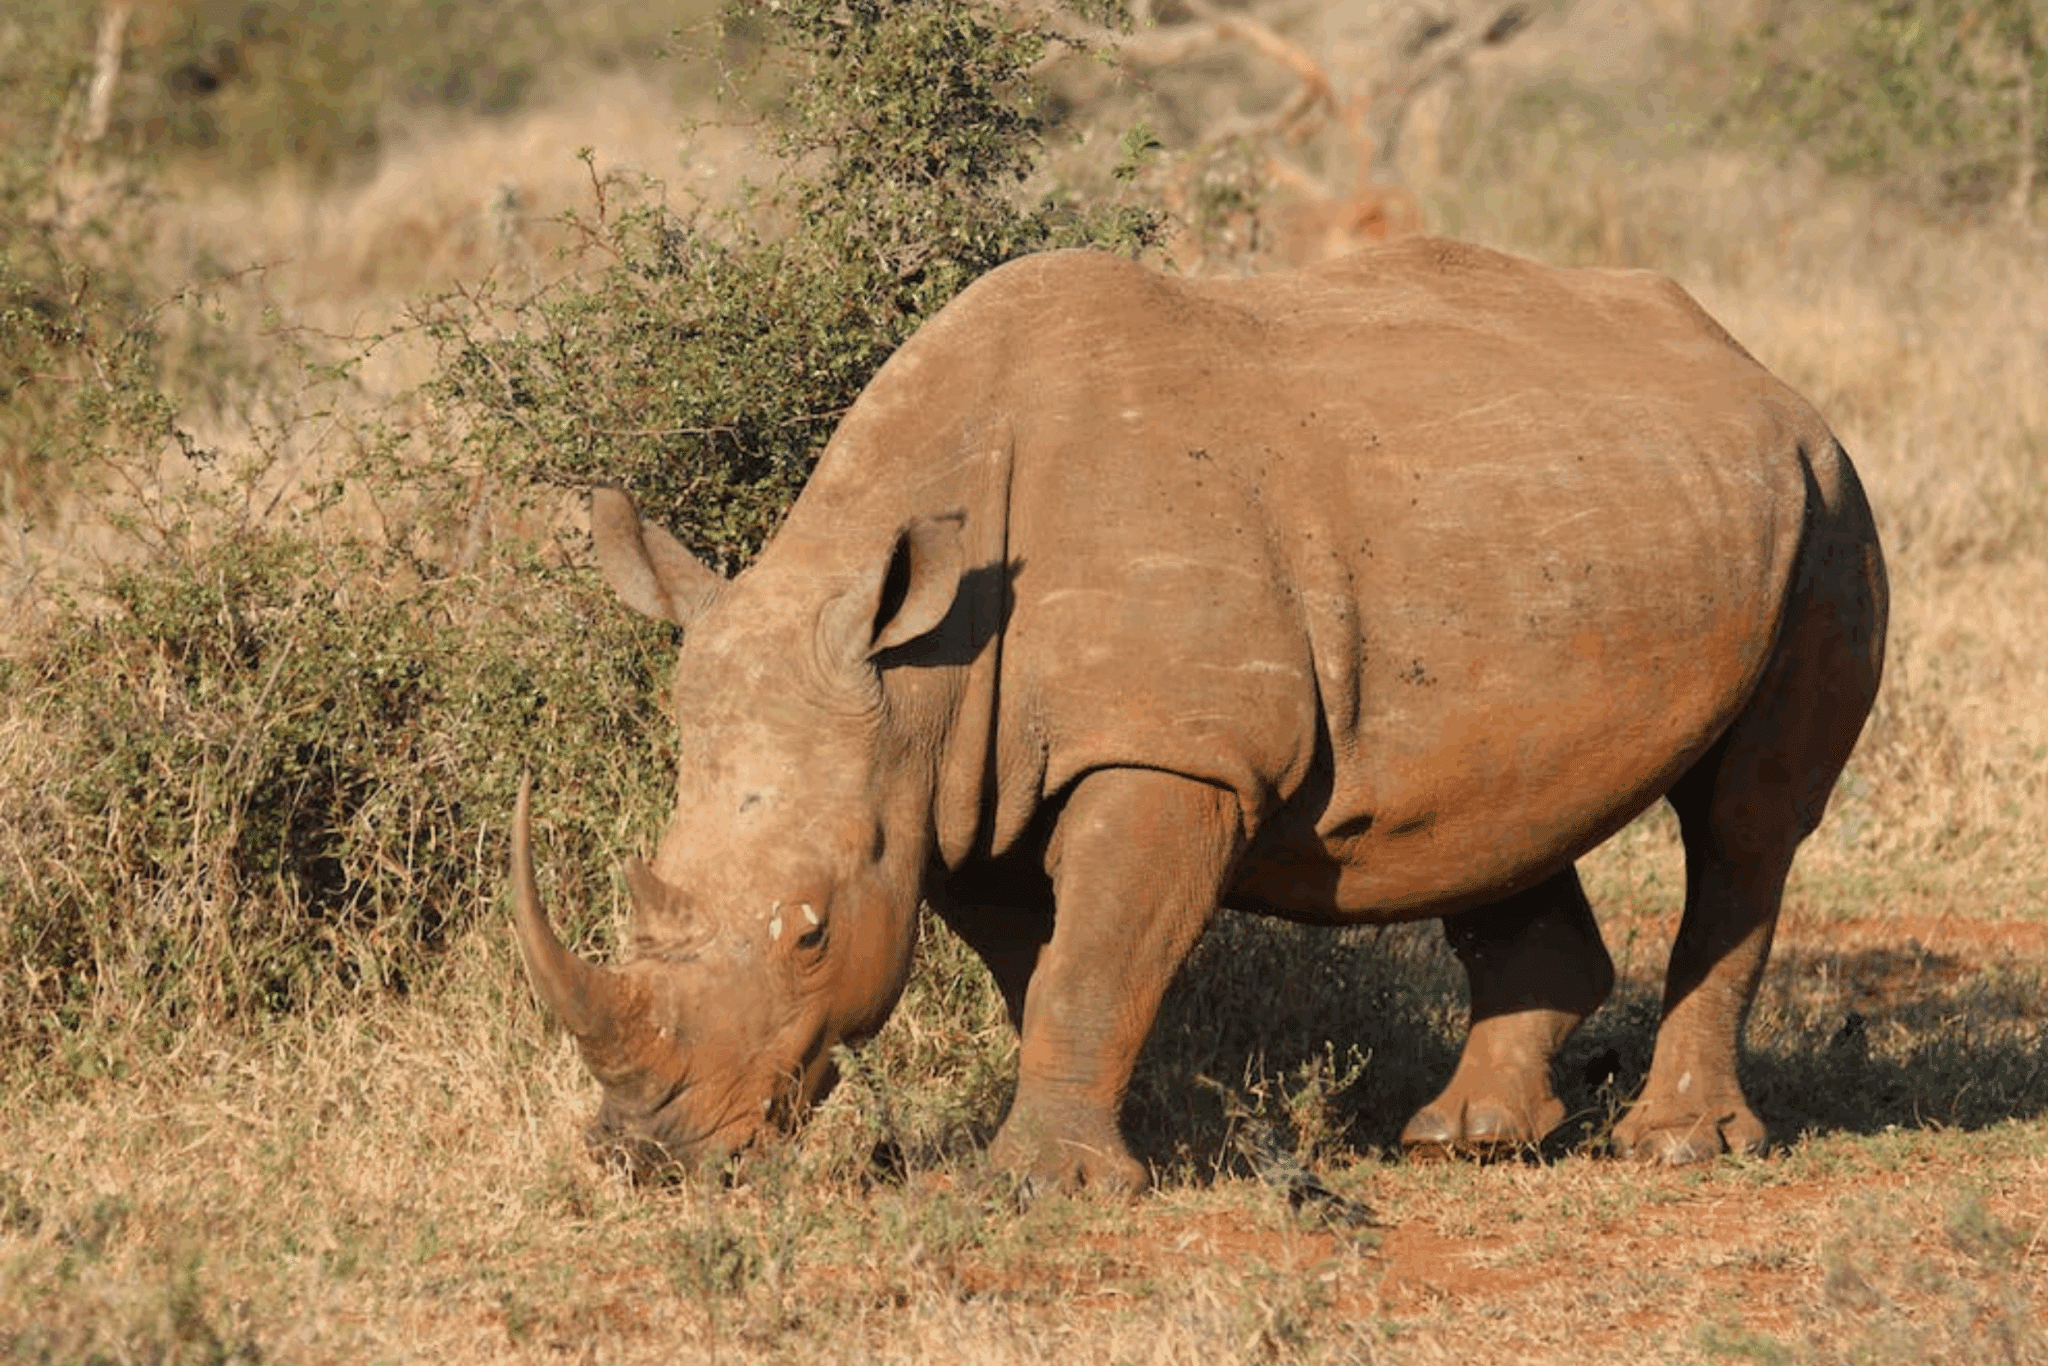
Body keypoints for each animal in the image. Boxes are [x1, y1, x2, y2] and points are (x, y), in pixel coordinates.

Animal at [512, 238, 1887, 1193]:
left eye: (808, 933)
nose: (649, 1152)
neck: (918, 676)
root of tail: (1757, 368)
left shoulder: (1170, 752)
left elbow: (1092, 952)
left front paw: (1036, 1184)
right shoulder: (959, 787)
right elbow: (1051, 963)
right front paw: (1148, 1137)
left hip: (1824, 500)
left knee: (1746, 826)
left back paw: (1674, 1147)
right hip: (1564, 517)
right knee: (1502, 797)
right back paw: (1466, 1140)